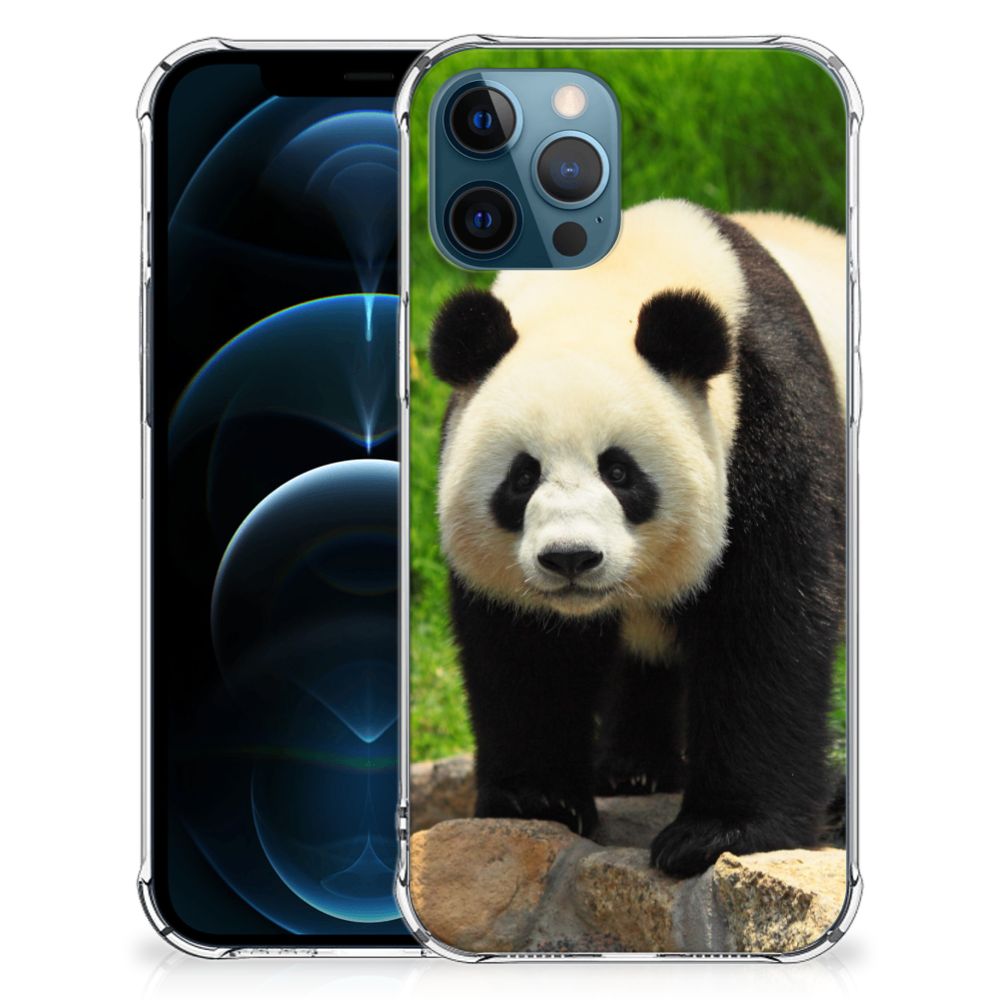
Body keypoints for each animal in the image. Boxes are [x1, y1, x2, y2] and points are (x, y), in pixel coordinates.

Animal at [426, 199, 846, 877]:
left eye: (619, 472)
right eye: (522, 476)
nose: (571, 558)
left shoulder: (769, 418)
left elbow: (766, 623)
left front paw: (719, 833)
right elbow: (525, 648)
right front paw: (536, 799)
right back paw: (633, 769)